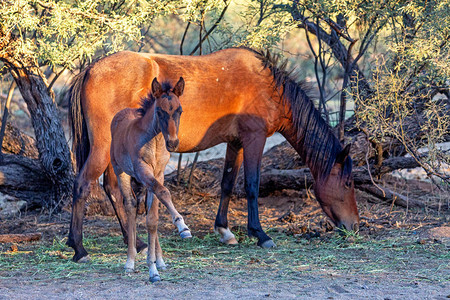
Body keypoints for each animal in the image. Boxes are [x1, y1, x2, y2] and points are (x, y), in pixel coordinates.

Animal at [67, 47, 360, 262]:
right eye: (348, 183)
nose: (354, 225)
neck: (269, 88)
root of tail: (91, 69)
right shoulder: (254, 139)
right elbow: (252, 185)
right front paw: (260, 234)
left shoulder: (236, 143)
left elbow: (228, 184)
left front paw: (224, 231)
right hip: (103, 149)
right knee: (82, 185)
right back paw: (80, 249)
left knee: (113, 189)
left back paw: (135, 242)